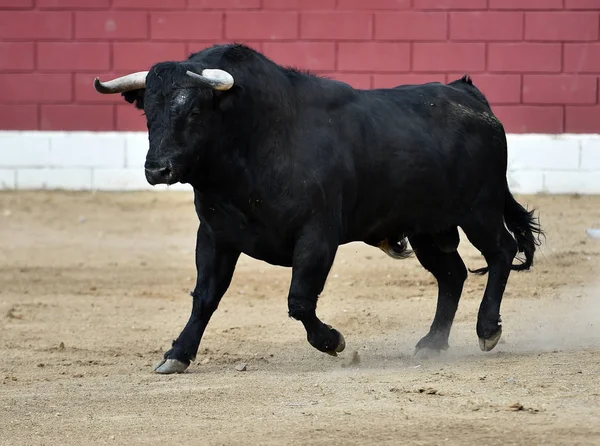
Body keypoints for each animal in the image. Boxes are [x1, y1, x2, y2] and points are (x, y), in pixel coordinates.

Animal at [94, 44, 544, 372]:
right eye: (149, 113)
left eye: (194, 110)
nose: (157, 168)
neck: (255, 140)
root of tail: (469, 95)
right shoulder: (215, 235)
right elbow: (205, 295)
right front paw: (177, 354)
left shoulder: (318, 235)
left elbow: (299, 299)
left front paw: (333, 342)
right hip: (427, 228)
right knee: (452, 274)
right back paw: (432, 343)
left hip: (479, 210)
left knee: (501, 252)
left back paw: (486, 329)